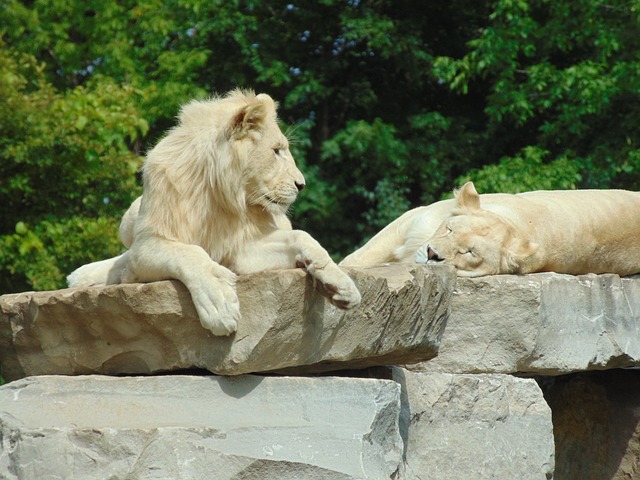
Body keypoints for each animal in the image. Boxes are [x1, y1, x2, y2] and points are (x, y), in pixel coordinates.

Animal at [70, 89, 362, 334]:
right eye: (277, 151)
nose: (302, 185)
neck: (220, 195)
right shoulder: (149, 242)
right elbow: (190, 253)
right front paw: (219, 304)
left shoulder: (240, 251)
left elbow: (300, 236)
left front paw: (340, 284)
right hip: (129, 218)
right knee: (127, 255)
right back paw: (88, 276)